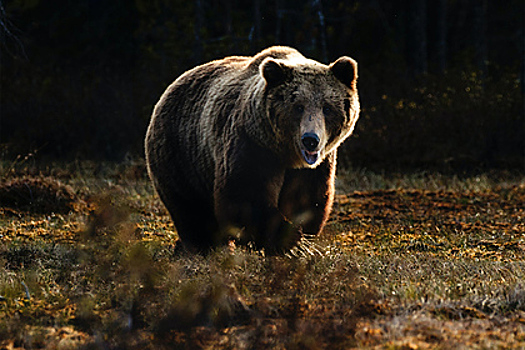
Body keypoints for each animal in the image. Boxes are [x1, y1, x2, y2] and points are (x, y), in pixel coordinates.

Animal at [145, 47, 358, 254]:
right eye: (298, 107)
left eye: (327, 108)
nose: (310, 140)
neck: (286, 154)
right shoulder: (252, 145)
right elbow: (245, 196)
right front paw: (292, 243)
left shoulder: (315, 166)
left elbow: (307, 199)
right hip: (180, 154)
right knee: (191, 209)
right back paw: (203, 246)